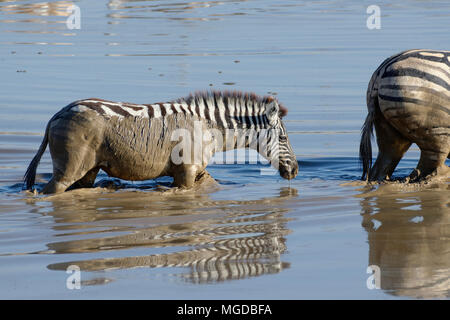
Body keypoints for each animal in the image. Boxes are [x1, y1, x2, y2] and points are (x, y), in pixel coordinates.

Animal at [23, 91, 298, 194]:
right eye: (283, 138)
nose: (295, 170)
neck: (209, 129)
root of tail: (58, 114)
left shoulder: (197, 171)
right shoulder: (186, 172)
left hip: (89, 170)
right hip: (69, 169)